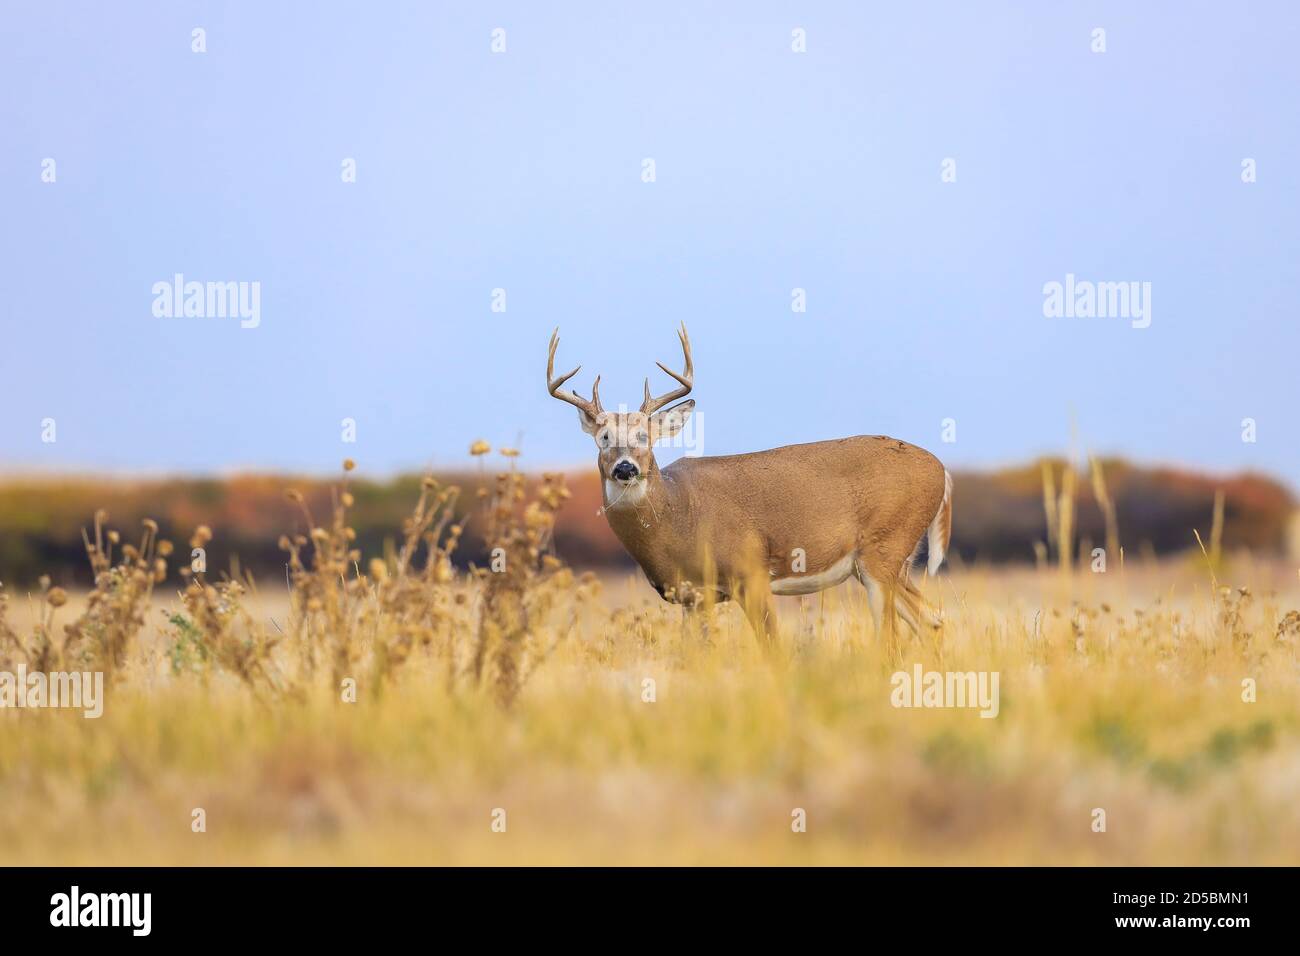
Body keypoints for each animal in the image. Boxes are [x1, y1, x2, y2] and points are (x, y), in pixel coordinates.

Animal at [546, 323, 952, 645]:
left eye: (644, 436)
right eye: (603, 438)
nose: (626, 468)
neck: (679, 517)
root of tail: (942, 470)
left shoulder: (751, 572)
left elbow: (773, 649)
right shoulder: (694, 597)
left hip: (884, 550)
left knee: (892, 639)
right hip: (892, 563)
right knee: (932, 621)